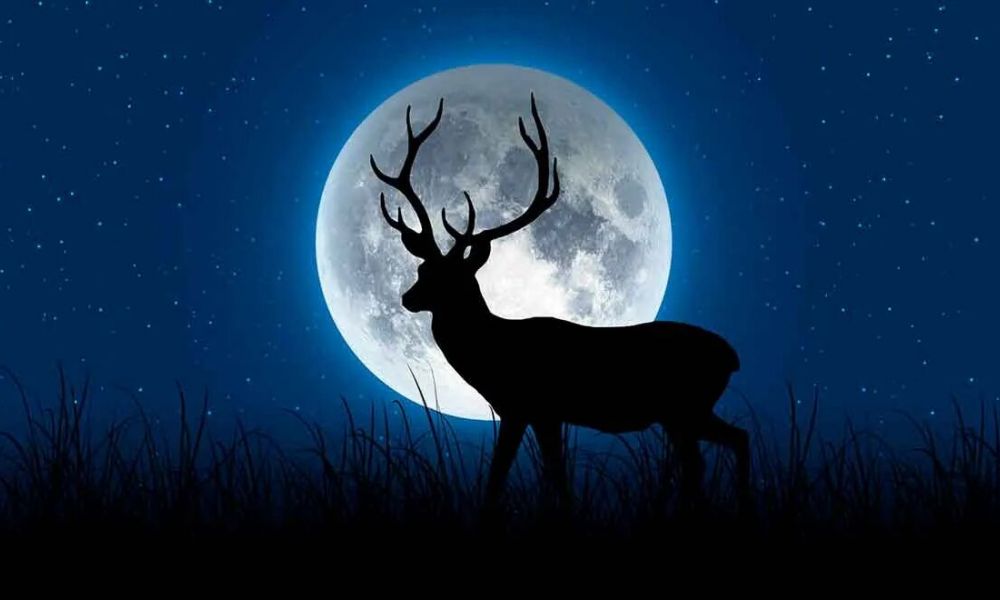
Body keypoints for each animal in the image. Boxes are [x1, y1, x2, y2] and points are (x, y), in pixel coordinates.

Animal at [368, 94, 750, 508]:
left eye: (450, 278)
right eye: (422, 269)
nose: (407, 297)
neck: (493, 351)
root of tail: (731, 357)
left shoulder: (530, 406)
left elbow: (511, 477)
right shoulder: (535, 414)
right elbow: (545, 474)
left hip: (685, 407)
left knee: (709, 455)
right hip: (686, 412)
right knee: (731, 442)